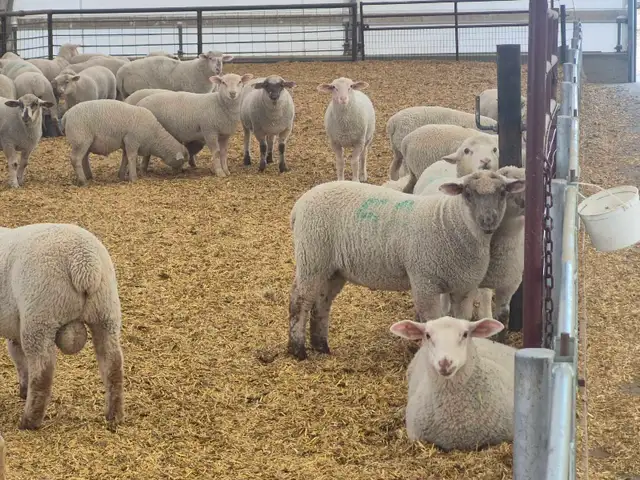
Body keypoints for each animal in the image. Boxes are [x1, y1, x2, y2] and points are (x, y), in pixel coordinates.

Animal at [0, 223, 125, 430]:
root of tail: (85, 263)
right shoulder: (15, 327)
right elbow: (18, 358)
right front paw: (23, 390)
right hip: (106, 312)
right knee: (113, 364)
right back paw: (113, 416)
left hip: (40, 316)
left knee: (42, 371)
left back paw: (29, 422)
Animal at [60, 99, 189, 185]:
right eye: (182, 161)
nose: (180, 173)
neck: (155, 136)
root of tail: (66, 115)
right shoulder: (132, 141)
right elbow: (132, 158)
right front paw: (134, 178)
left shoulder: (126, 143)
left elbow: (125, 158)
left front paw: (121, 175)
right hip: (80, 140)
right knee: (76, 159)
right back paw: (83, 181)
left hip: (85, 142)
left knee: (84, 158)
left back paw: (88, 176)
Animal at [287, 170, 526, 360]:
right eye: (467, 193)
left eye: (503, 192)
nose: (488, 221)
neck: (451, 222)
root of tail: (299, 206)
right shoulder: (425, 281)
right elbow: (431, 321)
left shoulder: (464, 287)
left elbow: (461, 320)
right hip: (312, 256)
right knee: (300, 300)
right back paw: (298, 350)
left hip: (334, 269)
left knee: (322, 303)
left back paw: (321, 346)